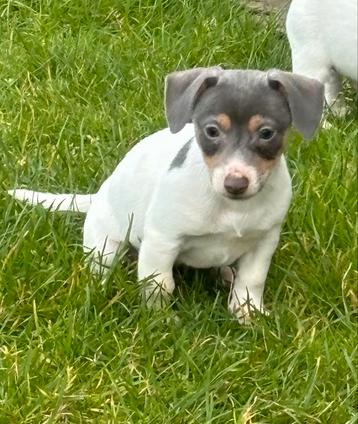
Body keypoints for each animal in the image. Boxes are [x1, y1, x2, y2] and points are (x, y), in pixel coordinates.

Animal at [8, 67, 324, 322]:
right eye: (211, 131)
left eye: (267, 133)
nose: (236, 184)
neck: (230, 209)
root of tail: (97, 195)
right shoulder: (162, 241)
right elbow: (160, 283)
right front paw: (160, 321)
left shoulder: (264, 241)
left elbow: (252, 280)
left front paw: (248, 313)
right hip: (105, 246)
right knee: (103, 266)